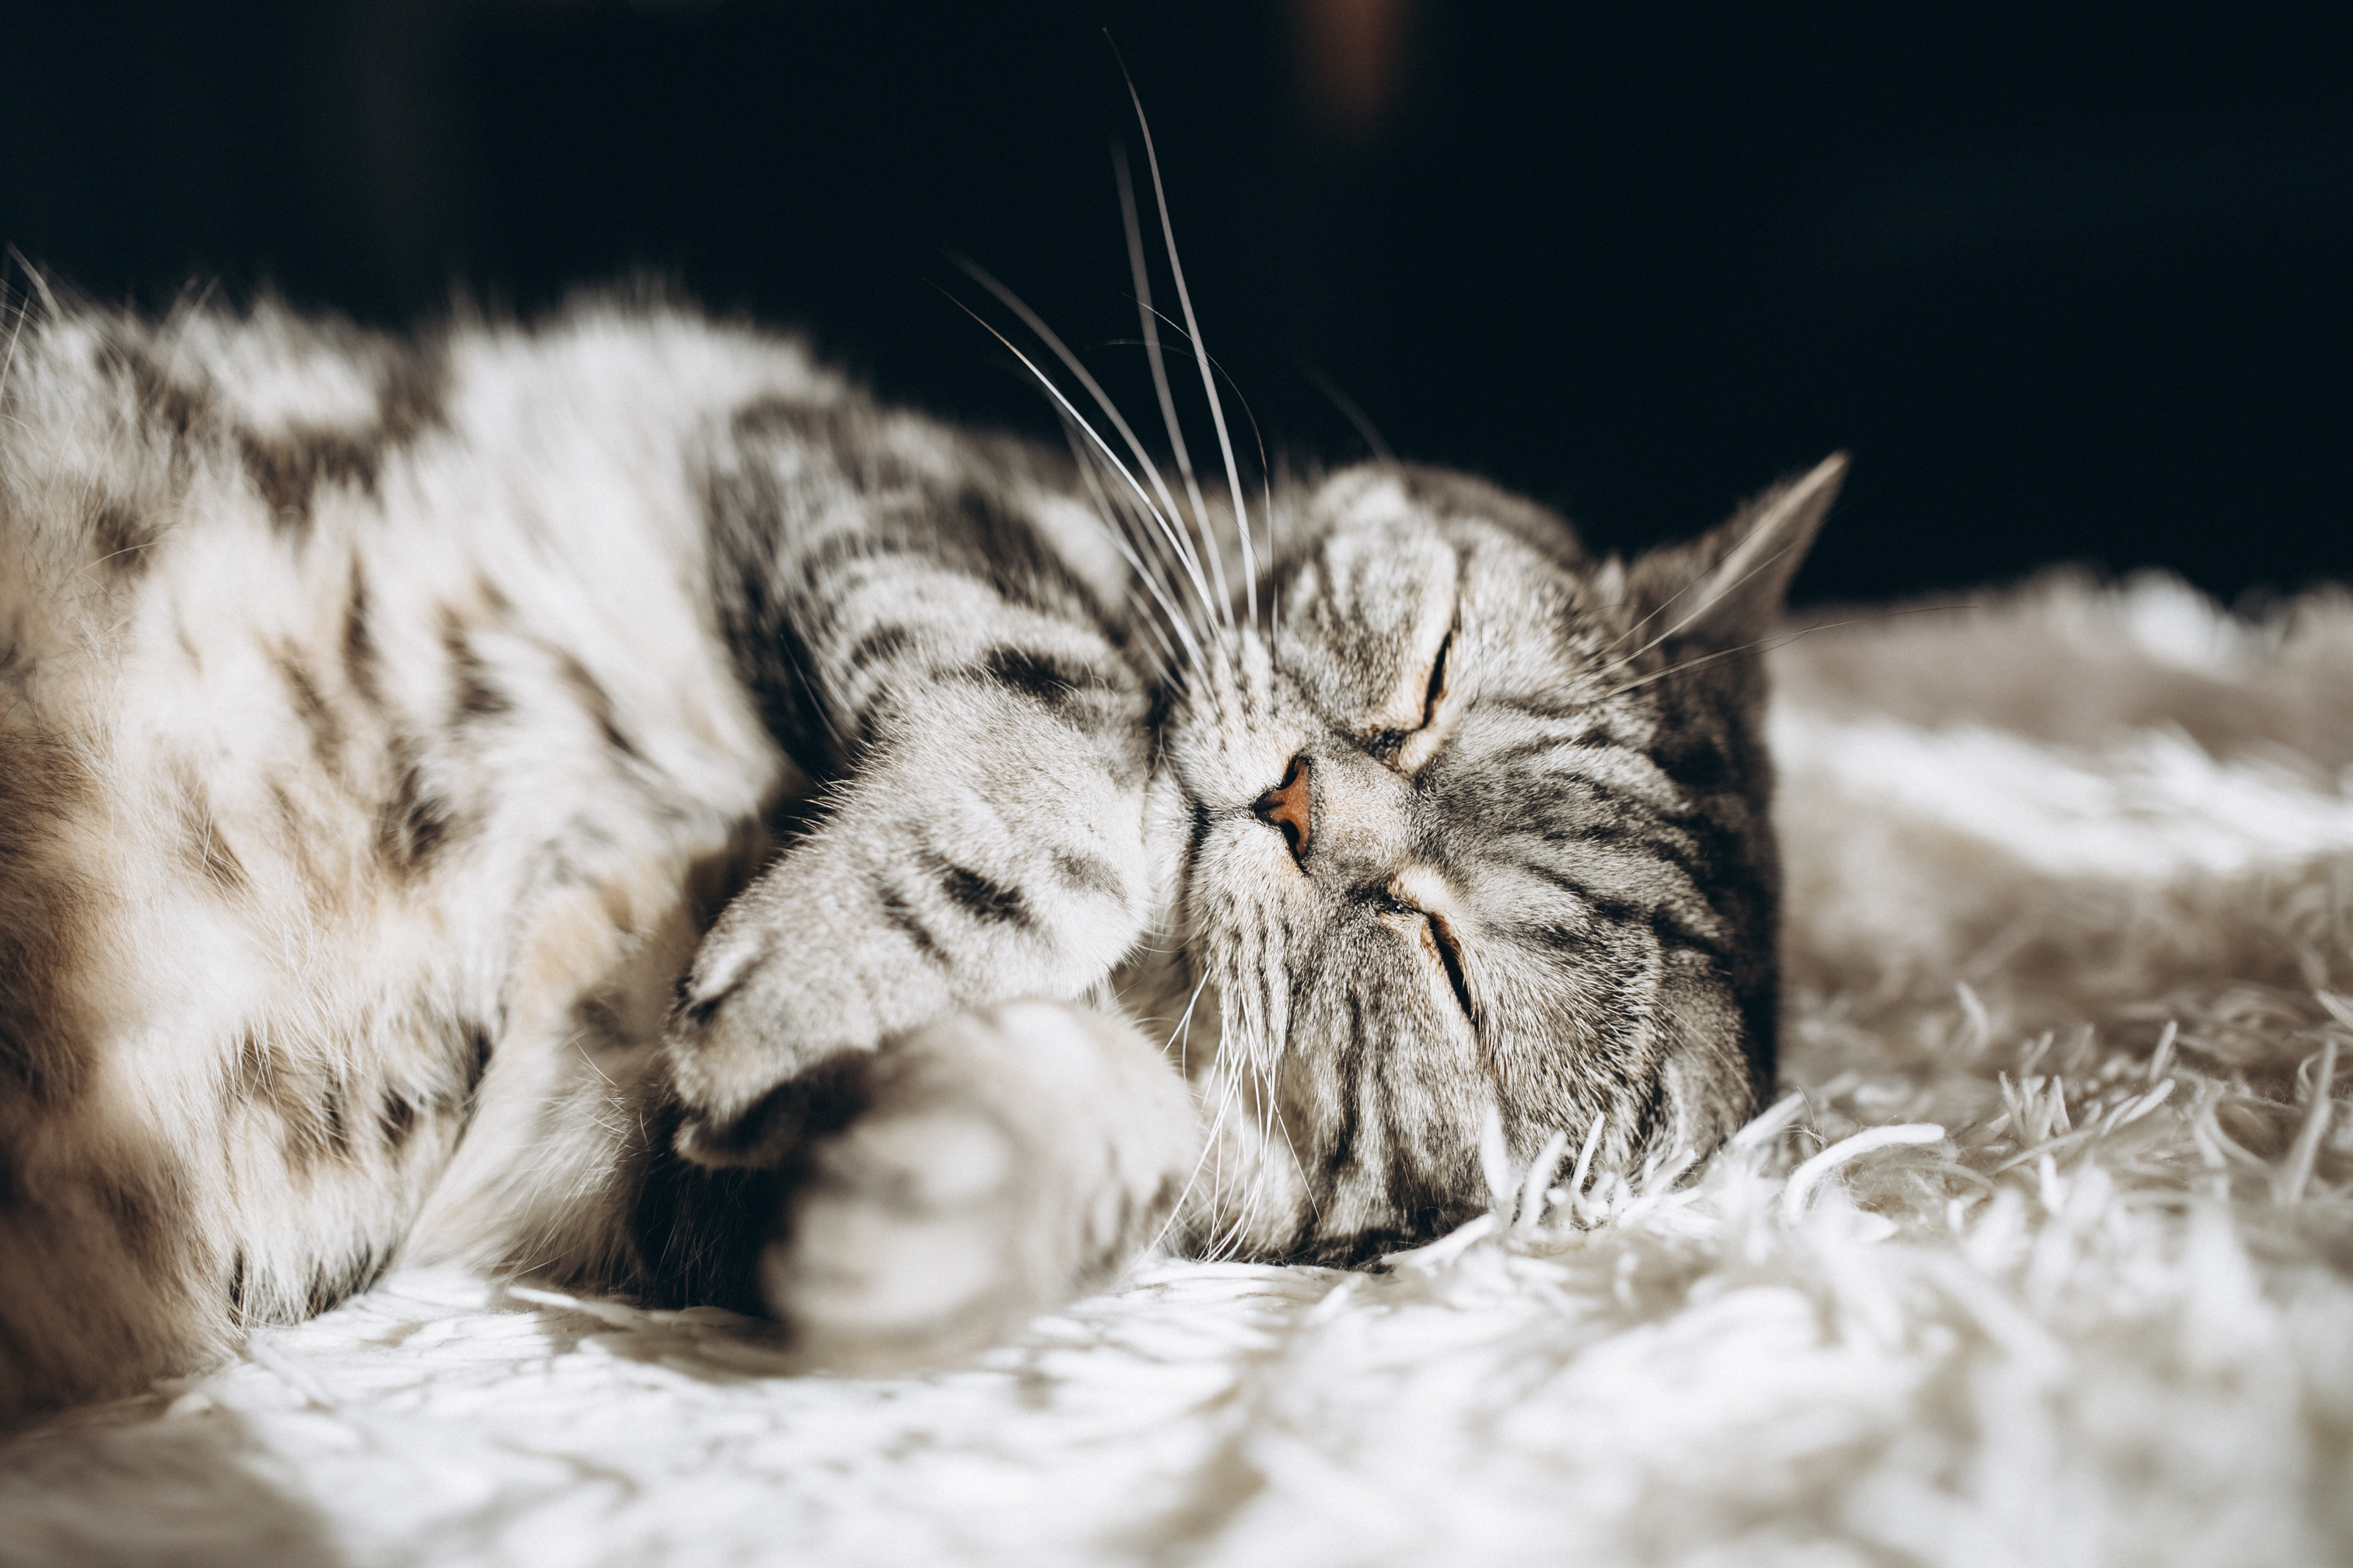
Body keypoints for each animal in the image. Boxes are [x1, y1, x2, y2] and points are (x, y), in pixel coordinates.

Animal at [0, 254, 1835, 1410]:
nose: (1303, 797)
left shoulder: (601, 1161)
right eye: (1430, 667)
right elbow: (1048, 707)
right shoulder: (831, 452)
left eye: (1447, 961)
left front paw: (935, 1195)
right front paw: (859, 951)